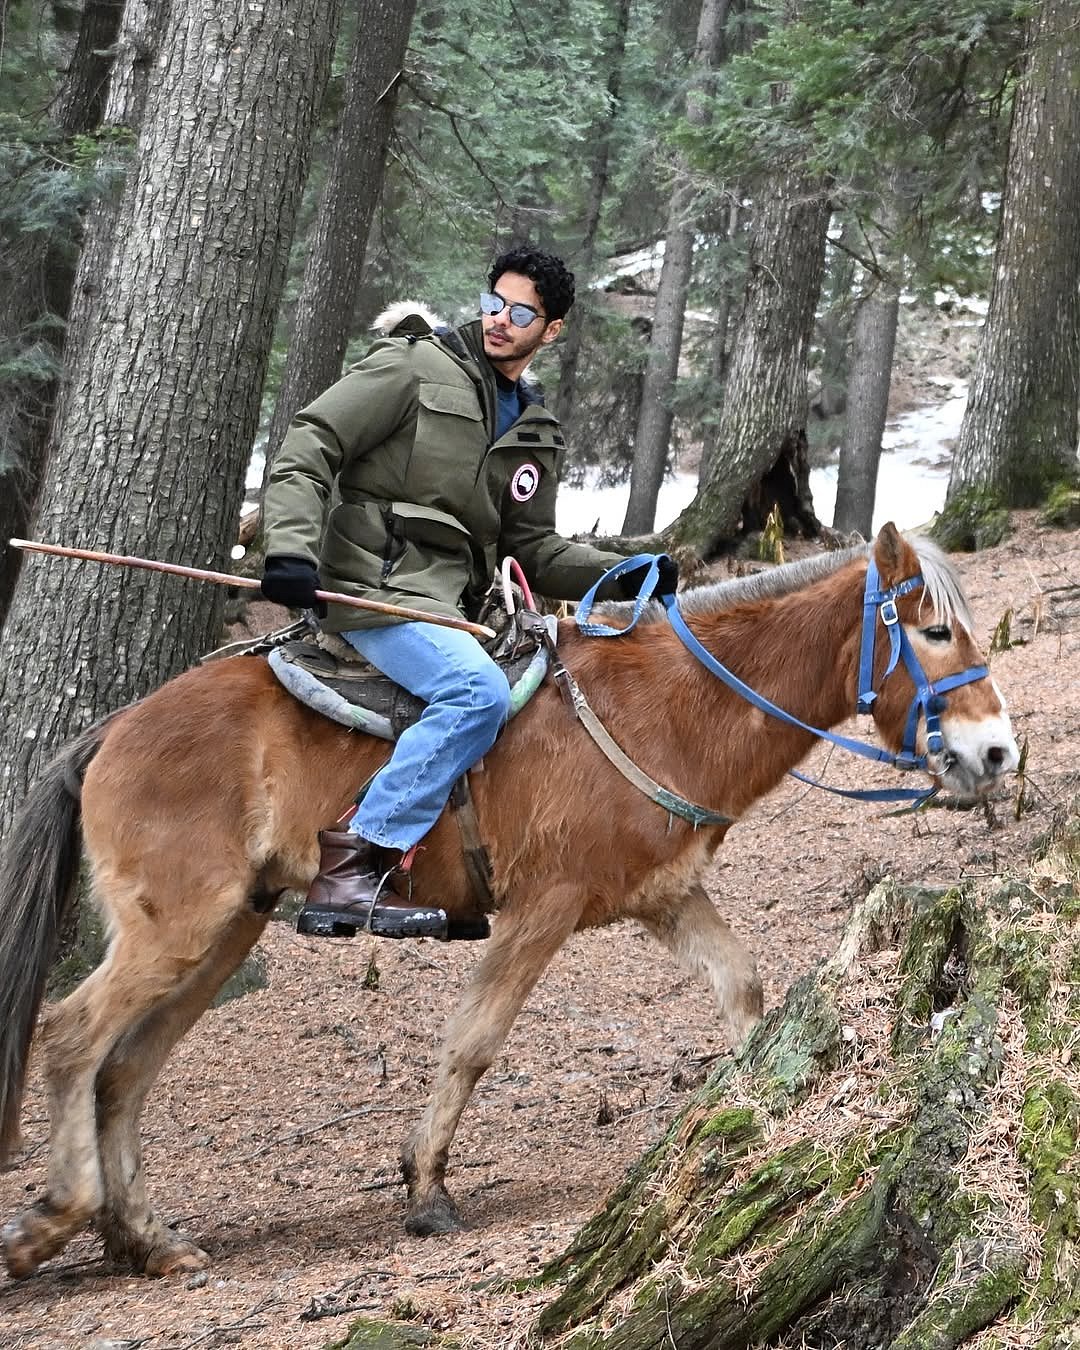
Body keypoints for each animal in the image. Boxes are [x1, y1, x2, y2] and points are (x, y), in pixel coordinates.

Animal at [0, 523, 1017, 1280]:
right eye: (933, 632)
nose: (998, 752)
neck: (668, 706)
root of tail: (113, 729)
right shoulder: (543, 908)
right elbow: (474, 1040)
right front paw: (424, 1189)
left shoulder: (666, 897)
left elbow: (743, 992)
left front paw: (748, 1115)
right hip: (177, 924)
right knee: (73, 1036)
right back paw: (58, 1216)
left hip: (224, 933)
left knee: (127, 1070)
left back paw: (144, 1239)